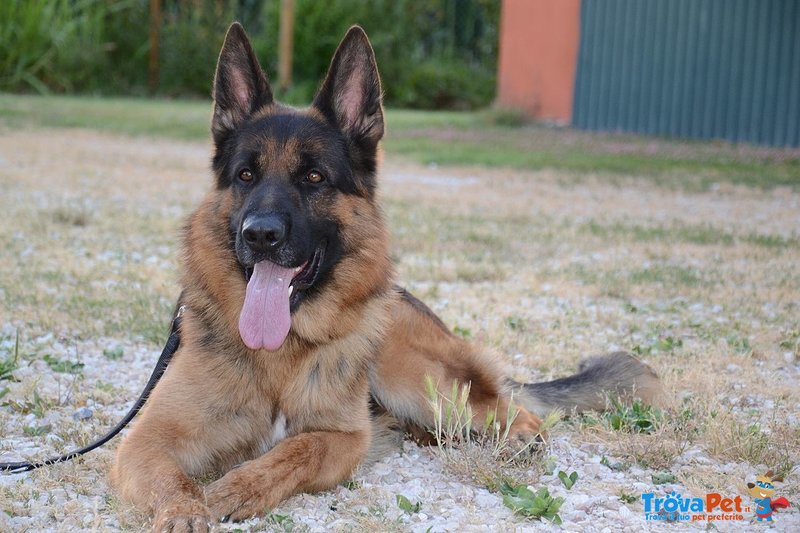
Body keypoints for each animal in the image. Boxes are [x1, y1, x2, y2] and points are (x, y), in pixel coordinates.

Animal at [114, 22, 664, 528]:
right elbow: (172, 481)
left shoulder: (344, 438)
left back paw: (518, 435)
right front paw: (185, 513)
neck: (281, 357)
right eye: (245, 175)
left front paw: (238, 487)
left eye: (314, 177)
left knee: (508, 406)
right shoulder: (145, 441)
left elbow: (296, 450)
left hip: (416, 375)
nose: (260, 234)